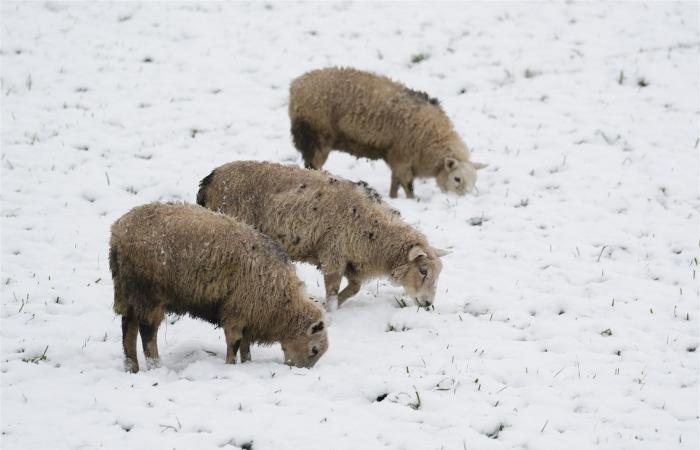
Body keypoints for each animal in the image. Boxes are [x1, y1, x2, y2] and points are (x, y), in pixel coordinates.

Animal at [108, 203, 328, 372]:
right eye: (314, 350)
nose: (299, 371)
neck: (283, 303)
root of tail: (117, 232)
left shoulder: (249, 315)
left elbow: (245, 346)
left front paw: (247, 363)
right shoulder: (237, 311)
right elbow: (234, 343)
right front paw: (231, 365)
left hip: (127, 290)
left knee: (128, 328)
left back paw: (132, 367)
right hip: (148, 293)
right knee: (147, 333)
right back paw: (155, 366)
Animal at [197, 160, 448, 312]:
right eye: (423, 270)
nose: (428, 304)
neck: (375, 232)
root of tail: (210, 179)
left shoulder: (352, 261)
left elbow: (354, 288)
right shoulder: (333, 254)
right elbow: (333, 290)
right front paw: (331, 310)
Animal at [286, 67, 486, 199]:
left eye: (475, 181)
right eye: (457, 178)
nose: (464, 200)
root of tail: (296, 85)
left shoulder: (396, 158)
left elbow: (395, 182)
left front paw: (392, 197)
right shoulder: (403, 158)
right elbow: (407, 185)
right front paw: (412, 200)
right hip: (317, 135)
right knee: (313, 164)